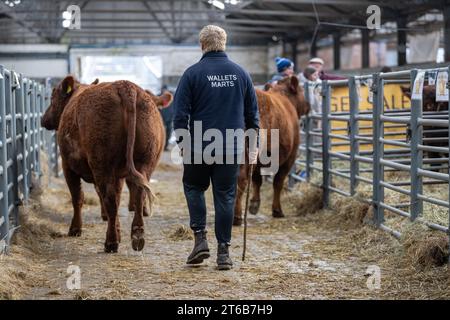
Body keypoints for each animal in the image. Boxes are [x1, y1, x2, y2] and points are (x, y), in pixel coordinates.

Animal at [41, 75, 168, 252]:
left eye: (52, 98)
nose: (43, 119)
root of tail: (125, 86)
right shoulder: (118, 174)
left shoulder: (68, 166)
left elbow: (77, 197)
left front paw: (75, 229)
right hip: (144, 162)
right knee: (137, 193)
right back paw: (137, 235)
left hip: (101, 163)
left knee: (109, 198)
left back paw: (111, 242)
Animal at [232, 75, 310, 225]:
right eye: (302, 90)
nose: (308, 105)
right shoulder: (290, 157)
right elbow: (278, 182)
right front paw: (277, 210)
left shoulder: (258, 162)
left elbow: (257, 180)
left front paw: (254, 204)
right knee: (240, 179)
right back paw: (237, 216)